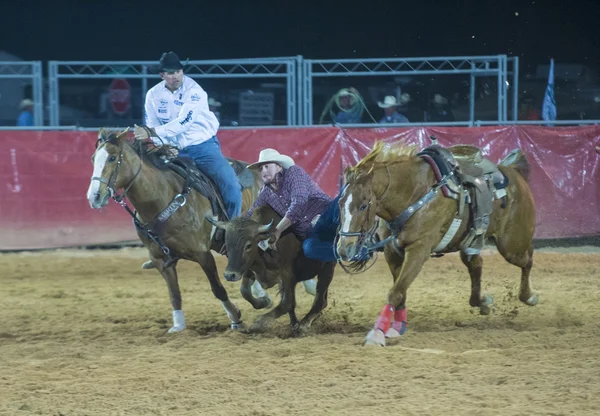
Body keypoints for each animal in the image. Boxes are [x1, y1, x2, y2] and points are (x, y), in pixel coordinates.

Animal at [85, 128, 264, 334]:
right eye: (93, 158)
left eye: (113, 158)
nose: (94, 196)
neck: (162, 198)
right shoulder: (161, 260)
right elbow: (174, 294)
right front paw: (178, 325)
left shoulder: (203, 254)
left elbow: (218, 289)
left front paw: (236, 317)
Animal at [338, 141, 540, 346]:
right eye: (340, 203)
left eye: (363, 205)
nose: (344, 249)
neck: (414, 193)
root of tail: (513, 171)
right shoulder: (392, 252)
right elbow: (400, 291)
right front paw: (398, 327)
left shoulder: (419, 250)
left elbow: (396, 292)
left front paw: (376, 333)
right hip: (471, 243)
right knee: (476, 264)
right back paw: (482, 302)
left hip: (512, 245)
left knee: (528, 258)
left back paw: (529, 296)